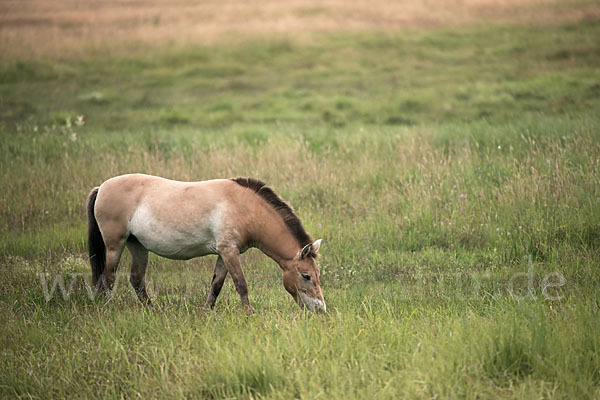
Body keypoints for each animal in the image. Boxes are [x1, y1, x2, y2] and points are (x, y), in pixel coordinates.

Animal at [86, 173, 326, 310]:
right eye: (306, 276)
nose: (320, 309)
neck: (244, 207)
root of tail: (101, 188)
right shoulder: (229, 251)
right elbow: (241, 285)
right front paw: (249, 315)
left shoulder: (223, 253)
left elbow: (216, 285)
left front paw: (206, 312)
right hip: (115, 245)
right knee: (109, 277)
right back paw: (109, 308)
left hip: (138, 246)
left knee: (136, 279)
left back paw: (151, 310)